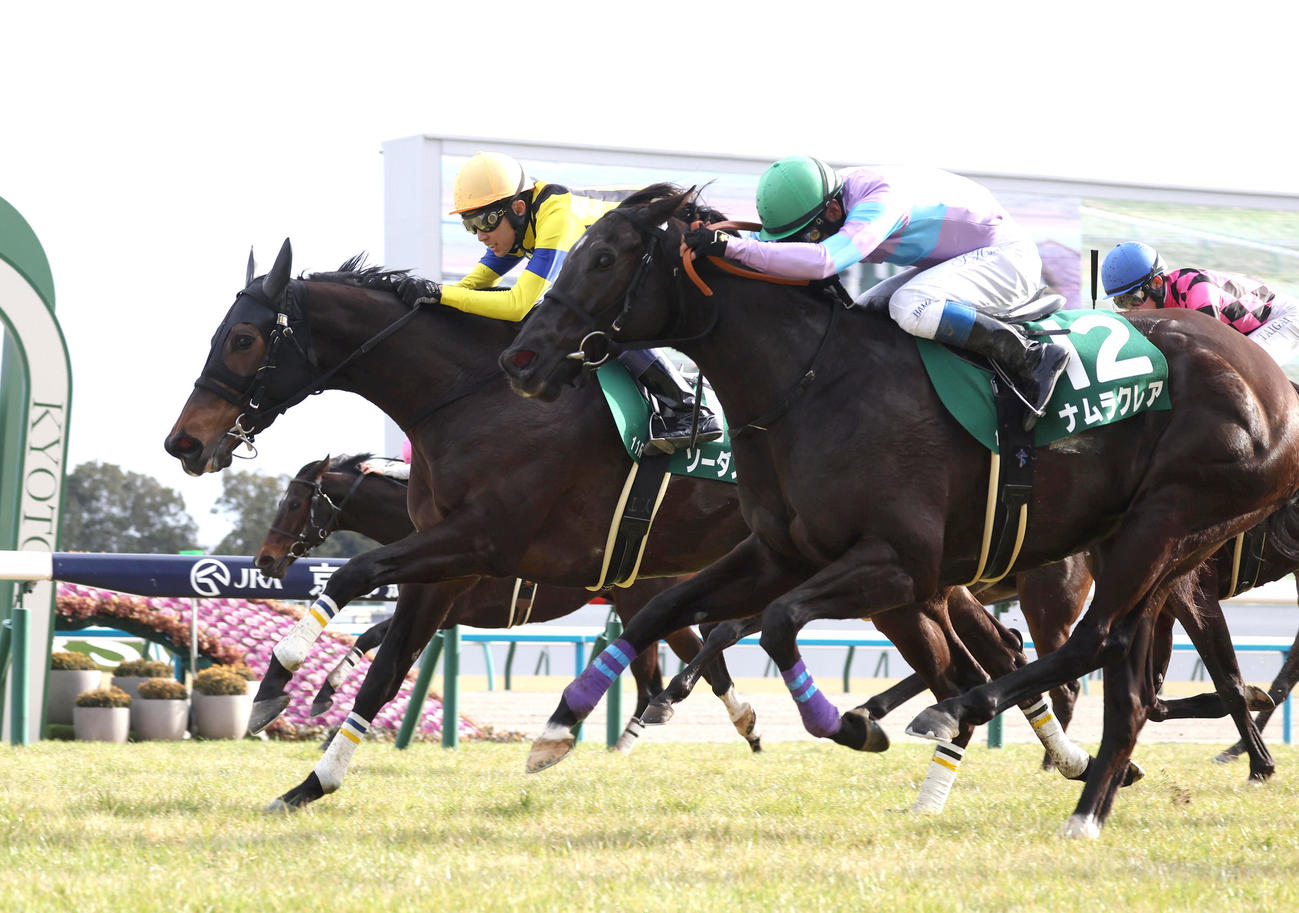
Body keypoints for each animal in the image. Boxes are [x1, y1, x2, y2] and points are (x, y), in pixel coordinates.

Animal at [253, 451, 760, 754]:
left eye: (294, 503)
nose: (265, 559)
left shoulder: (453, 605)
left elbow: (372, 633)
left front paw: (326, 691)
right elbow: (371, 636)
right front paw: (326, 693)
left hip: (643, 602)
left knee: (689, 664)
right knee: (655, 677)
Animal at [498, 184, 1299, 837]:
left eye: (603, 257)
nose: (521, 360)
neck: (811, 380)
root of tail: (1273, 383)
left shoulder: (897, 563)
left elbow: (780, 624)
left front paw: (848, 724)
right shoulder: (781, 552)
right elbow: (665, 611)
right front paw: (559, 727)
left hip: (1171, 519)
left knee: (1088, 645)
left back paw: (972, 718)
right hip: (1147, 544)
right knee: (1126, 683)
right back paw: (1086, 808)